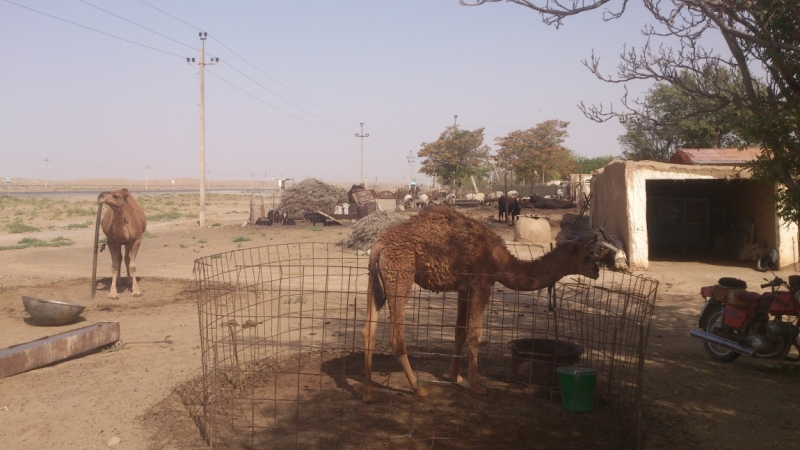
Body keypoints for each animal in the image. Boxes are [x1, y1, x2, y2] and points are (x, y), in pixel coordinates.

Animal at [362, 206, 600, 402]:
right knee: (395, 337)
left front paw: (455, 376)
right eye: (587, 257)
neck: (501, 260)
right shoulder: (483, 282)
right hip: (400, 275)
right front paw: (477, 385)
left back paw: (369, 393)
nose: (597, 271)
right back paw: (417, 389)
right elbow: (475, 332)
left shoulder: (464, 287)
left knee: (368, 331)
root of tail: (379, 245)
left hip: (376, 280)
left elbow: (460, 330)